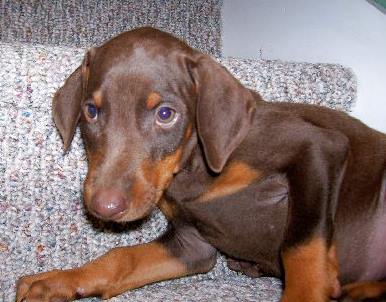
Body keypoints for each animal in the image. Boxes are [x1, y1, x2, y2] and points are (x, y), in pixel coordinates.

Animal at [16, 27, 386, 300]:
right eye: (91, 111)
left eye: (166, 114)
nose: (104, 208)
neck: (190, 171)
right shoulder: (191, 244)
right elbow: (121, 257)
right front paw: (59, 280)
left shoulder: (317, 147)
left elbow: (302, 244)